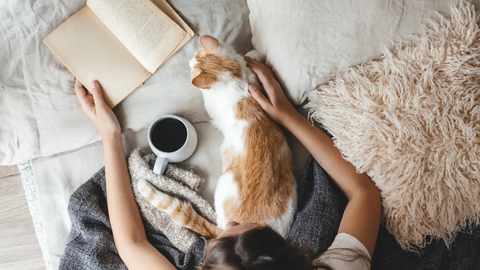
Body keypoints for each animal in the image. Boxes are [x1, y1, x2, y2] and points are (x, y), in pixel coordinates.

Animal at [139, 35, 296, 238]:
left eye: (194, 65)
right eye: (195, 55)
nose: (189, 62)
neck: (234, 80)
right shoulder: (254, 82)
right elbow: (250, 62)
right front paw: (251, 55)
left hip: (224, 183)